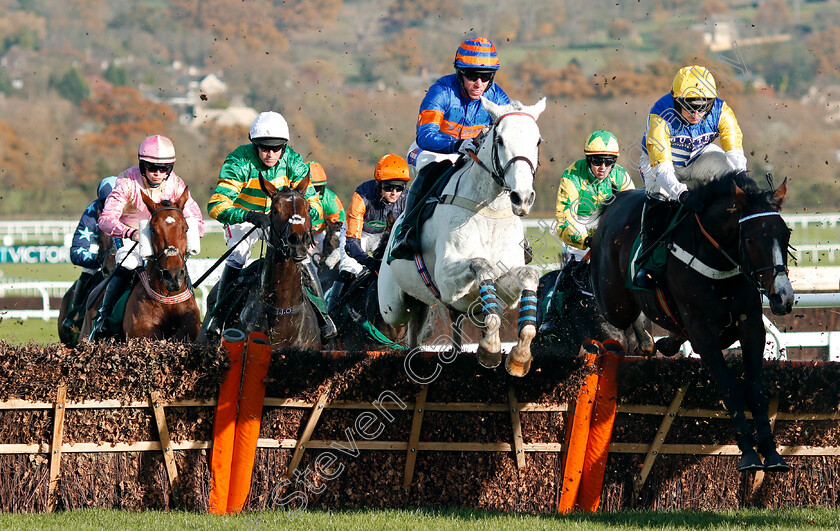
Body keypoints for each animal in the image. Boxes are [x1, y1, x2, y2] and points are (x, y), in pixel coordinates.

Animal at [378, 96, 548, 378]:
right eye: (500, 140)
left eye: (537, 141)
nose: (522, 198)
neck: (490, 211)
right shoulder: (447, 279)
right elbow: (481, 264)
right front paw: (491, 347)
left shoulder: (506, 282)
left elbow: (527, 277)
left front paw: (520, 355)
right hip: (393, 307)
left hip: (423, 307)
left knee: (420, 332)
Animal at [592, 171, 796, 474]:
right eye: (750, 239)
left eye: (785, 234)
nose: (783, 296)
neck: (719, 265)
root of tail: (616, 199)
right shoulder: (703, 332)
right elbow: (730, 389)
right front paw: (748, 454)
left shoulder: (750, 326)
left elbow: (755, 389)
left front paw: (771, 454)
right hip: (613, 300)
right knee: (617, 316)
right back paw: (637, 340)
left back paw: (659, 342)